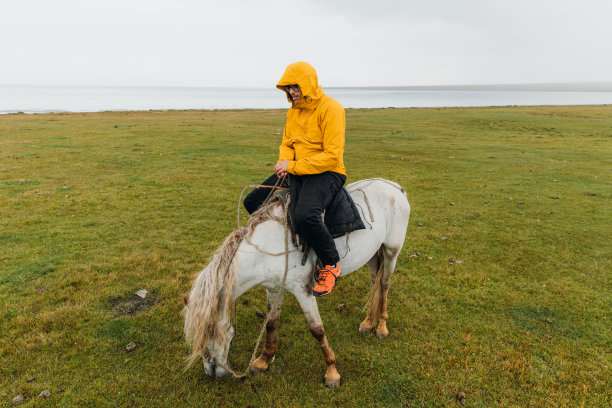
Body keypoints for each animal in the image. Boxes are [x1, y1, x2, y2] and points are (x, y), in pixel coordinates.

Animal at [184, 179, 408, 388]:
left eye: (210, 333)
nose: (211, 372)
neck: (268, 245)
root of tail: (394, 186)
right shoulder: (274, 288)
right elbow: (271, 323)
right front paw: (263, 361)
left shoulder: (303, 290)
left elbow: (317, 330)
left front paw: (332, 373)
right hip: (371, 253)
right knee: (375, 281)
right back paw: (368, 323)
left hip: (391, 250)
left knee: (384, 284)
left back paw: (381, 327)